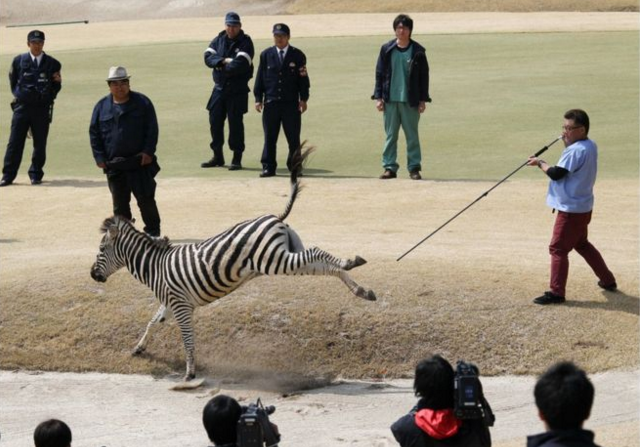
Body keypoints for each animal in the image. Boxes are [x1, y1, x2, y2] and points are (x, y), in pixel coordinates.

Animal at [92, 148, 378, 382]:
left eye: (101, 249)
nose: (93, 274)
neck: (154, 266)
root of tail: (275, 217)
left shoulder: (182, 307)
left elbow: (187, 339)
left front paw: (190, 373)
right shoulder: (172, 303)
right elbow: (152, 323)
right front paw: (139, 348)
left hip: (274, 259)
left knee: (316, 252)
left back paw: (352, 264)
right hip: (287, 255)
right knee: (323, 264)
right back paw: (360, 287)